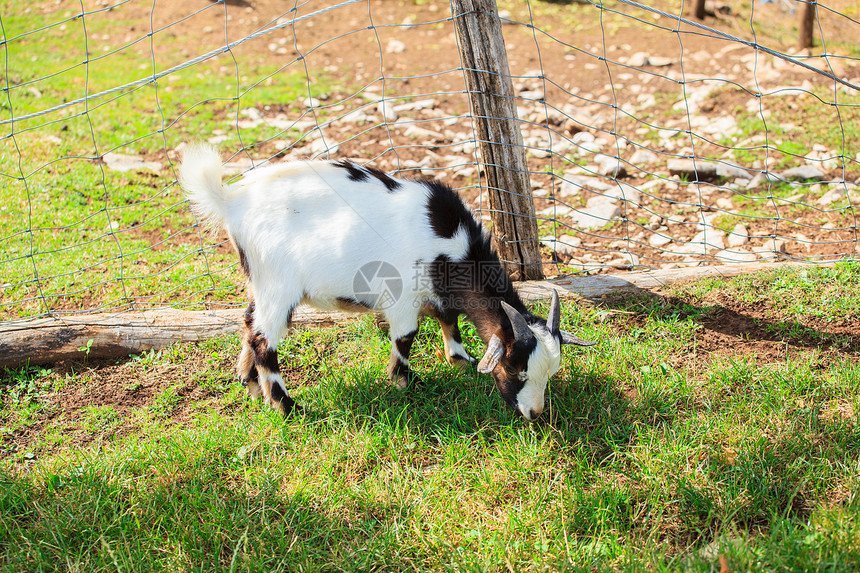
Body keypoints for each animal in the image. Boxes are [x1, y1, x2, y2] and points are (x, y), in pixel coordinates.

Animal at [178, 143, 596, 420]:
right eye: (516, 369)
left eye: (551, 372)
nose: (535, 413)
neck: (450, 246)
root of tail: (232, 202)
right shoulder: (403, 298)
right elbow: (406, 337)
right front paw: (404, 381)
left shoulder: (436, 292)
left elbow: (448, 318)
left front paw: (460, 359)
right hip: (279, 285)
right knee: (265, 339)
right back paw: (286, 405)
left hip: (259, 281)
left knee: (249, 323)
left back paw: (250, 383)